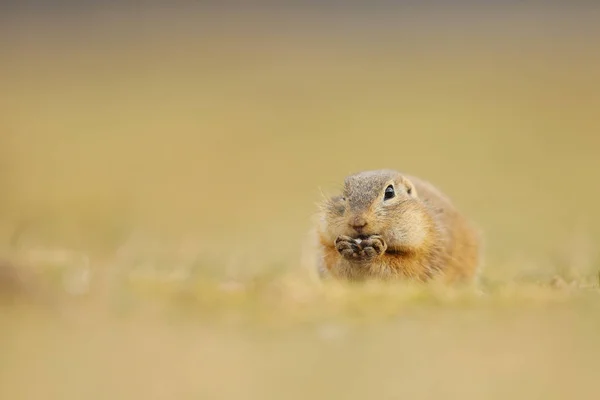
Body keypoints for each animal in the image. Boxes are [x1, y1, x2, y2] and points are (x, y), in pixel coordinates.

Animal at [314, 170, 482, 282]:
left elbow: (405, 268)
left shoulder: (429, 249)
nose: (357, 222)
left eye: (389, 192)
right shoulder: (324, 245)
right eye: (343, 196)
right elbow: (333, 263)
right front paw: (344, 247)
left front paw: (376, 250)